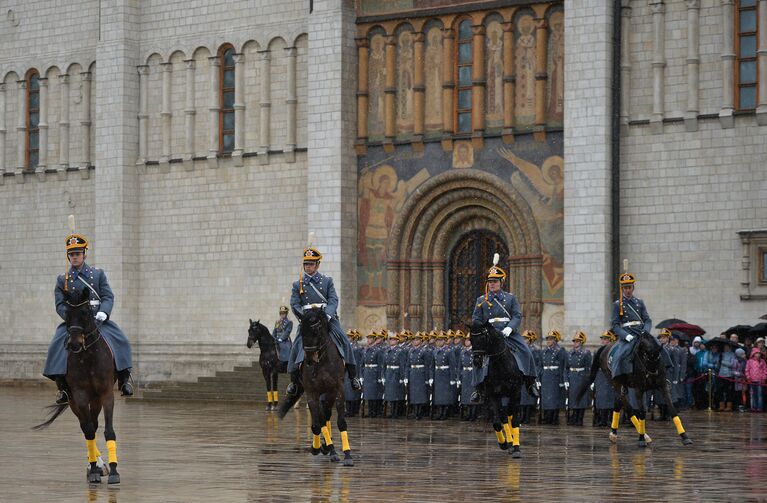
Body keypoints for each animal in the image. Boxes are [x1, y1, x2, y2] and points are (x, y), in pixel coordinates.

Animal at [33, 288, 121, 484]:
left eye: (86, 312)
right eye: (67, 313)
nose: (74, 344)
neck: (88, 357)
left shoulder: (106, 394)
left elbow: (108, 431)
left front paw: (113, 470)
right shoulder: (79, 396)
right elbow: (88, 432)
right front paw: (94, 469)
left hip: (95, 399)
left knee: (94, 424)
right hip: (74, 401)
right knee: (86, 426)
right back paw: (95, 465)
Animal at [276, 308, 354, 468]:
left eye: (316, 331)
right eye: (301, 332)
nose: (309, 360)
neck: (322, 360)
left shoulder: (337, 390)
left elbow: (340, 421)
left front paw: (347, 454)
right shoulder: (312, 392)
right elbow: (318, 423)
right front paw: (320, 448)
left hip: (329, 393)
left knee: (327, 414)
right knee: (321, 417)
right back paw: (324, 447)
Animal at [472, 322, 524, 460]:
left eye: (483, 338)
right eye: (471, 339)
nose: (477, 361)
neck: (502, 365)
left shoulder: (516, 393)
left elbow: (515, 420)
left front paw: (516, 448)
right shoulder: (493, 395)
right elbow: (497, 422)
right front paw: (504, 443)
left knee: (510, 414)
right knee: (504, 416)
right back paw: (509, 442)